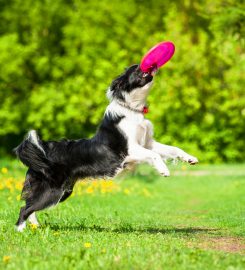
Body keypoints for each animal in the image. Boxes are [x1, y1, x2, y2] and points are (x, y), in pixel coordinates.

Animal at [14, 63, 197, 232]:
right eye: (137, 68)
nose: (151, 64)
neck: (132, 110)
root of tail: (43, 149)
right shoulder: (129, 150)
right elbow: (154, 155)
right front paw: (164, 170)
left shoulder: (148, 143)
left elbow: (173, 149)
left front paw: (190, 158)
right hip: (53, 190)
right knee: (24, 208)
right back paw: (21, 231)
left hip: (63, 190)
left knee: (29, 205)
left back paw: (35, 226)